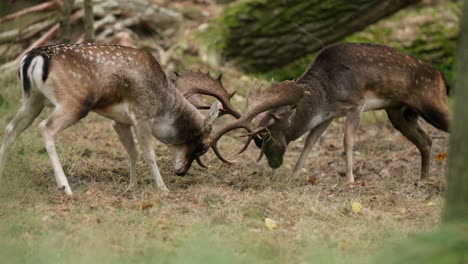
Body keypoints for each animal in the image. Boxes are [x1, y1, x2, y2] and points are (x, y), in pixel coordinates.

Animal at [0, 43, 238, 196]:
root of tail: (32, 58)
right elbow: (149, 154)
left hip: (32, 100)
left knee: (10, 128)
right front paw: (163, 190)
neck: (163, 106)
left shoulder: (120, 121)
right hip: (75, 102)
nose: (181, 172)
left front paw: (131, 187)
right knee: (45, 127)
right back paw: (65, 188)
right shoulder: (141, 114)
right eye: (203, 146)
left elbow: (132, 152)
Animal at [230, 43, 450, 184]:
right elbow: (310, 141)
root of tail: (440, 76)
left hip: (432, 103)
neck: (326, 93)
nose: (274, 164)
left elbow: (348, 141)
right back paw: (424, 179)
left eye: (270, 139)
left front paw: (350, 180)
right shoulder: (328, 115)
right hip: (398, 112)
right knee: (426, 140)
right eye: (258, 143)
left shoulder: (356, 104)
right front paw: (294, 174)